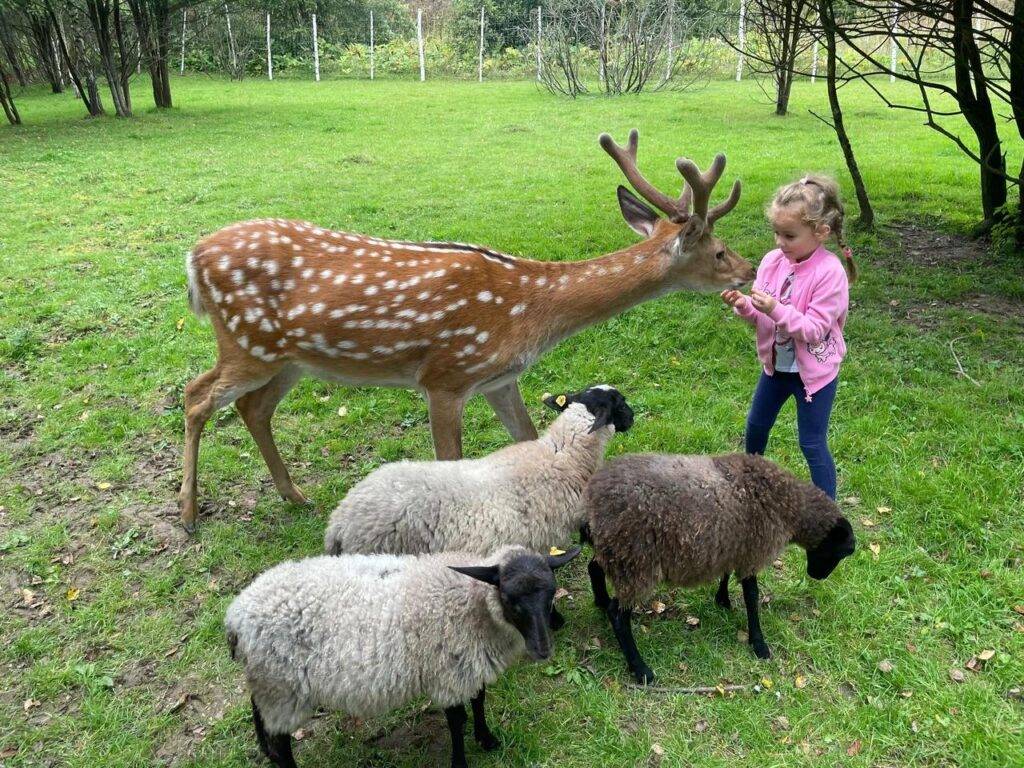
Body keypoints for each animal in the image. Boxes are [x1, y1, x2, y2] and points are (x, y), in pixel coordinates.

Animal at [178, 131, 753, 528]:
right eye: (719, 251)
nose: (749, 271)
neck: (528, 313)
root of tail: (194, 257)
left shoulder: (498, 378)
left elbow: (528, 439)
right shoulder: (446, 376)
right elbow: (448, 462)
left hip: (288, 357)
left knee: (253, 408)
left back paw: (294, 495)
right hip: (246, 342)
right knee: (195, 395)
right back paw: (188, 513)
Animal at [225, 544, 581, 765]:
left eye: (552, 593)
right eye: (510, 599)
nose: (543, 649)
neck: (471, 602)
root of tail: (236, 615)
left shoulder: (470, 665)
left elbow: (479, 700)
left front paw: (486, 738)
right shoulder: (447, 673)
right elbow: (456, 720)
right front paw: (461, 759)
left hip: (268, 682)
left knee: (258, 710)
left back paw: (263, 747)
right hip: (282, 688)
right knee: (282, 744)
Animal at [585, 450, 856, 684]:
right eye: (842, 551)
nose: (817, 576)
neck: (786, 504)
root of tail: (594, 500)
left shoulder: (732, 544)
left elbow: (726, 574)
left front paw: (722, 600)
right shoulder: (752, 552)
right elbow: (752, 597)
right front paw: (759, 644)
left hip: (616, 554)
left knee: (594, 568)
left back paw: (601, 601)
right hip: (636, 563)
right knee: (618, 615)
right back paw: (641, 669)